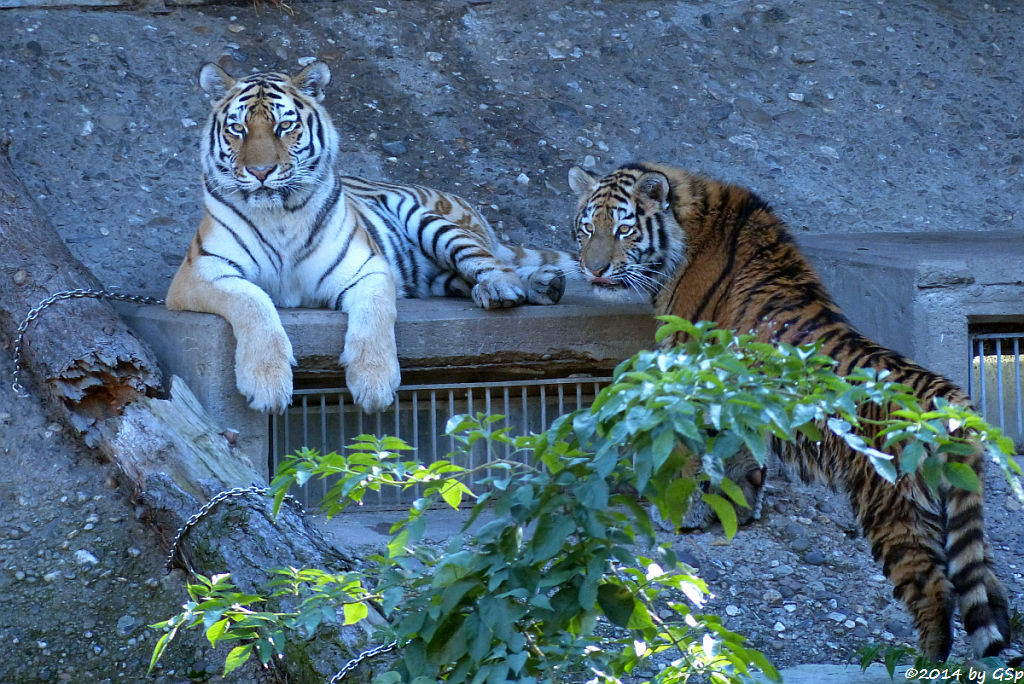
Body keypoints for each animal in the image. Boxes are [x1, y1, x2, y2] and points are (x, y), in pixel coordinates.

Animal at [163, 62, 573, 417]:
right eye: (238, 129)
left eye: (284, 126)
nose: (261, 172)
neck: (280, 216)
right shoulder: (202, 272)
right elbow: (252, 302)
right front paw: (266, 383)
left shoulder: (369, 268)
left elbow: (375, 315)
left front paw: (374, 383)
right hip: (434, 276)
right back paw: (544, 285)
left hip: (430, 221)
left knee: (493, 263)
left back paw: (504, 289)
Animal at [573, 160, 1011, 663]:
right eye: (587, 228)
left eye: (623, 229)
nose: (594, 270)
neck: (690, 220)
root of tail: (952, 398)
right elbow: (740, 454)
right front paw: (738, 506)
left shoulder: (690, 371)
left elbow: (690, 453)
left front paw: (679, 514)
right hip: (958, 513)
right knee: (988, 591)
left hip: (895, 509)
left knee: (934, 592)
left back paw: (921, 663)